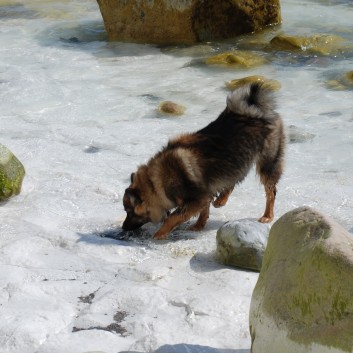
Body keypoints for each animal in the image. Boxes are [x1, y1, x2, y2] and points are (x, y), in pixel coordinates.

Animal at [122, 81, 284, 238]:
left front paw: (159, 234)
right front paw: (199, 225)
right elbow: (203, 211)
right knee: (232, 182)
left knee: (271, 192)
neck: (157, 182)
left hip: (267, 164)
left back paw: (267, 216)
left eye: (129, 211)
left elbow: (173, 217)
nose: (123, 227)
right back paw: (221, 200)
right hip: (234, 162)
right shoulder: (204, 195)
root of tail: (258, 111)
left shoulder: (197, 199)